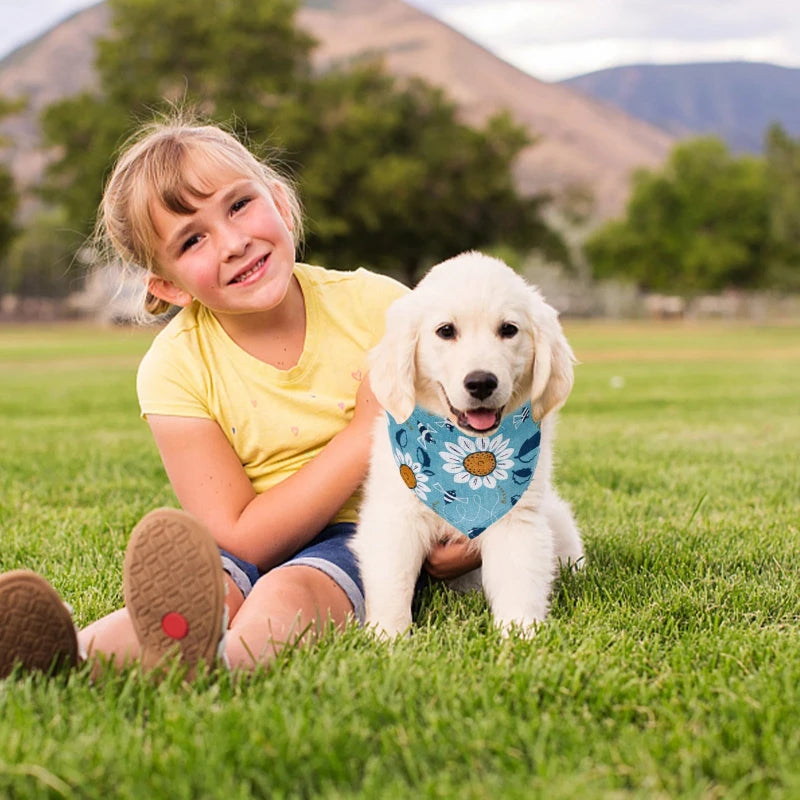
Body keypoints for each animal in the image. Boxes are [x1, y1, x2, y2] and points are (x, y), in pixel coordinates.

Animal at [354, 250, 584, 636]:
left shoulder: (517, 521)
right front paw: (387, 637)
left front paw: (522, 637)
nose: (481, 382)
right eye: (446, 331)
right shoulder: (396, 516)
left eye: (508, 329)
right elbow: (392, 582)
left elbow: (519, 584)